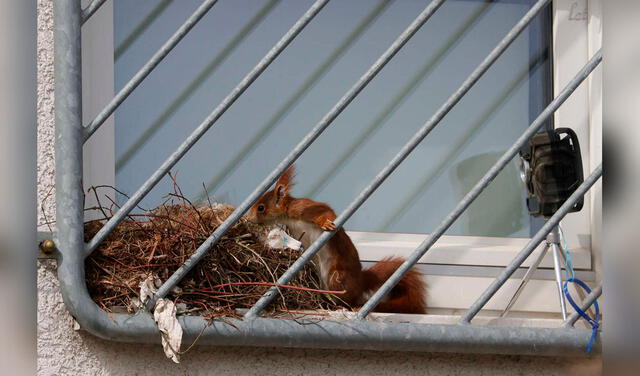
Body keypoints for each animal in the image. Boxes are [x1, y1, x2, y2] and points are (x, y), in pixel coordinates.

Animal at [248, 165, 428, 314]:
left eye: (261, 207)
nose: (249, 218)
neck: (289, 217)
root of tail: (361, 280)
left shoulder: (303, 208)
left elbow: (327, 213)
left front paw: (325, 223)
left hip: (337, 278)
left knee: (348, 300)